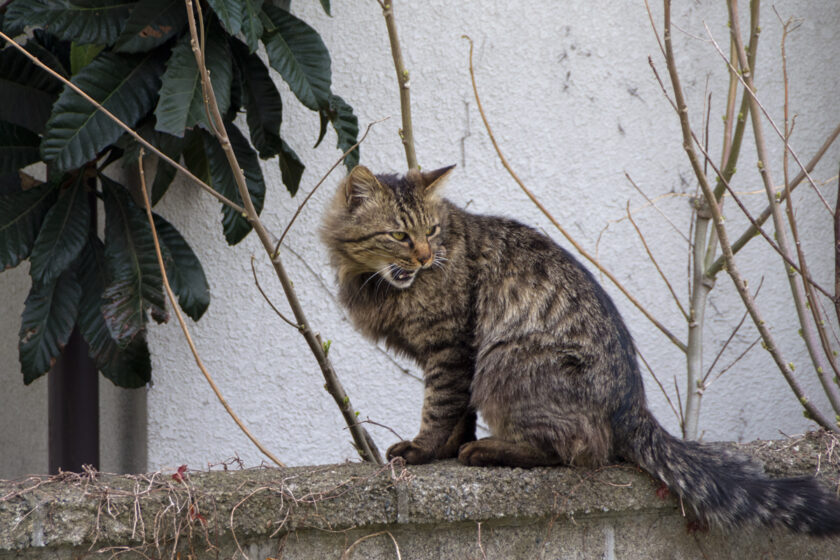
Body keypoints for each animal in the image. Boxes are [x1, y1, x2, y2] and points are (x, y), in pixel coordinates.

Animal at [320, 164, 840, 536]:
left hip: (505, 361)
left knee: (578, 450)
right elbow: (457, 413)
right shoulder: (454, 355)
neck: (377, 284)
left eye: (431, 231)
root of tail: (633, 403)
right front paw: (444, 449)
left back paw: (486, 450)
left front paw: (425, 451)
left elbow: (440, 407)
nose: (427, 257)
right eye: (400, 236)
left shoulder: (452, 347)